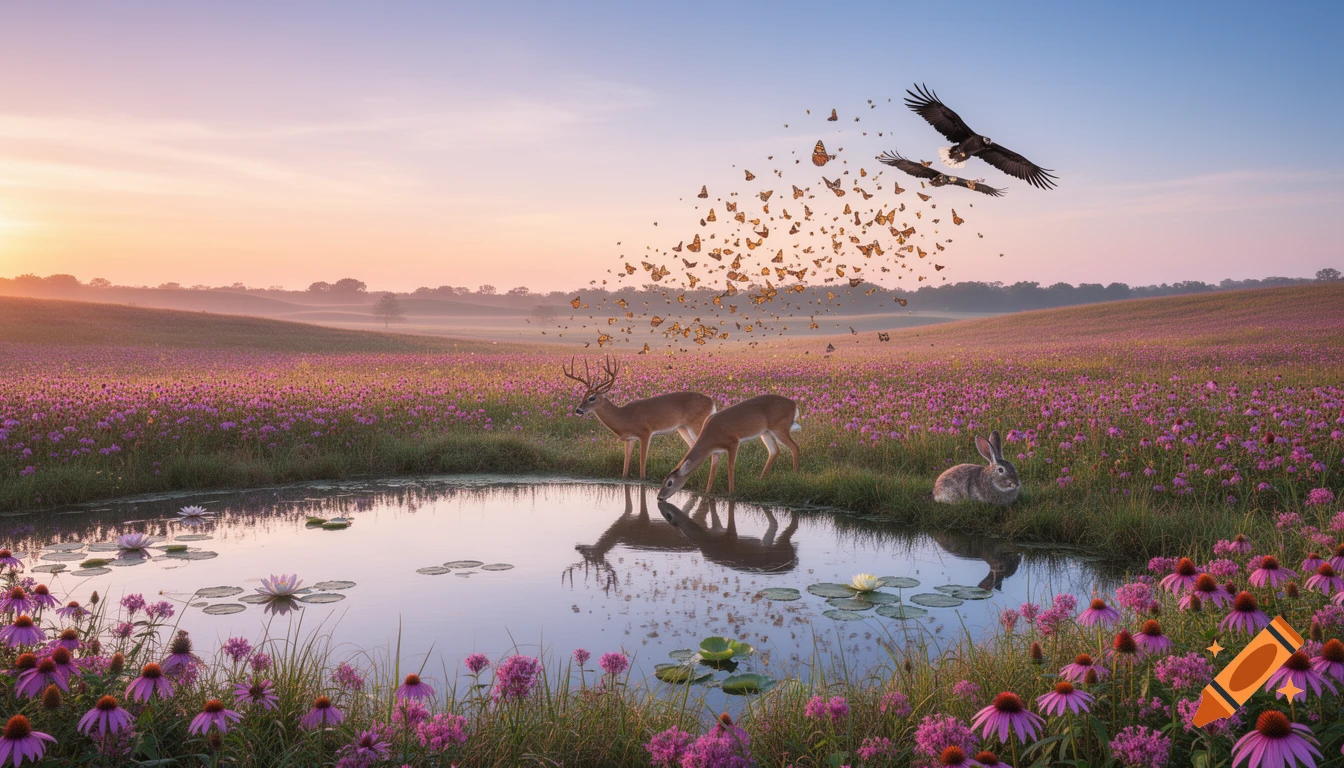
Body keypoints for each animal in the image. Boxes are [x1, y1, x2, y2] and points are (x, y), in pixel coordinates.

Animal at [563, 356, 717, 480]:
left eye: (592, 398)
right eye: (583, 395)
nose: (578, 410)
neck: (623, 417)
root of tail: (712, 401)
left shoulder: (645, 433)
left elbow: (642, 468)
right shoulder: (629, 439)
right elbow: (625, 470)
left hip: (698, 424)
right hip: (683, 428)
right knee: (693, 448)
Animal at [658, 394, 801, 500]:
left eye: (669, 483)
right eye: (663, 481)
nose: (659, 497)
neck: (710, 435)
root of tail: (794, 405)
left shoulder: (733, 443)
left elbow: (730, 467)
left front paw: (731, 491)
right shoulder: (716, 452)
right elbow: (713, 471)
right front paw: (707, 492)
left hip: (779, 428)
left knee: (795, 447)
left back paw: (795, 475)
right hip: (766, 432)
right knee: (774, 451)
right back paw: (761, 479)